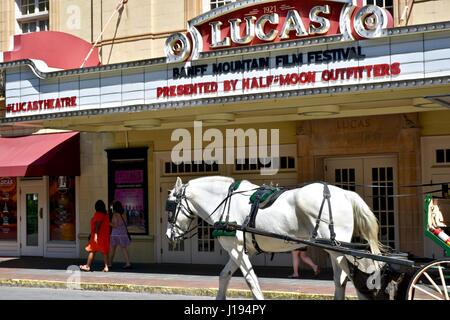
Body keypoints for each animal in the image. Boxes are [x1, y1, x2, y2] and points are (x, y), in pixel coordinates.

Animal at [165, 175, 384, 300]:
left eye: (171, 206)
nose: (169, 235)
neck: (225, 202)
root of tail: (345, 193)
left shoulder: (236, 249)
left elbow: (251, 280)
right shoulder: (239, 251)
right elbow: (223, 277)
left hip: (337, 249)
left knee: (353, 278)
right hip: (335, 250)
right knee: (341, 280)